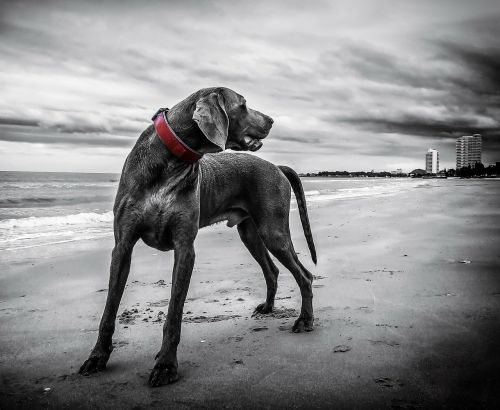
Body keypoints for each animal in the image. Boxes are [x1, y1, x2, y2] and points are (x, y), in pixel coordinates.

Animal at [80, 87, 318, 388]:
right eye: (243, 104)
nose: (272, 120)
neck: (171, 160)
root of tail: (276, 167)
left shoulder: (184, 248)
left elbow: (174, 313)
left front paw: (166, 365)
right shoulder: (122, 246)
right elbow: (109, 310)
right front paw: (97, 357)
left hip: (273, 231)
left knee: (305, 276)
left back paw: (305, 320)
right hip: (250, 233)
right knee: (273, 270)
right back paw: (268, 307)